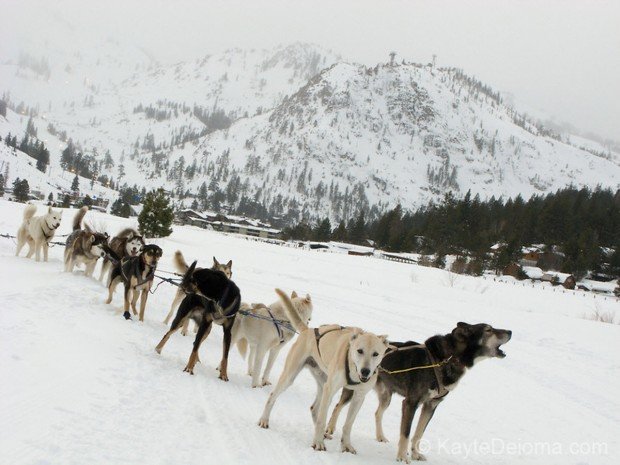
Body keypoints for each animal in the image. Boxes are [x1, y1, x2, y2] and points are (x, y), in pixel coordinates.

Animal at [258, 286, 388, 454]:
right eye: (359, 351)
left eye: (376, 354)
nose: (366, 371)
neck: (352, 368)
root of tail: (307, 330)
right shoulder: (331, 389)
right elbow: (322, 419)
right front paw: (318, 443)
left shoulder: (359, 397)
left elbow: (348, 425)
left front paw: (346, 445)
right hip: (293, 378)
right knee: (274, 397)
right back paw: (264, 420)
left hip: (324, 385)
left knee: (314, 408)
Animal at [326, 320, 512, 462]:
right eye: (488, 329)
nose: (510, 331)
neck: (443, 360)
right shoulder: (410, 403)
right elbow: (406, 433)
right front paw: (402, 457)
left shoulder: (431, 405)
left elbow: (418, 434)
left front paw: (415, 454)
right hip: (353, 391)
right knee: (337, 406)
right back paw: (329, 430)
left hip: (386, 397)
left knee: (378, 413)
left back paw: (380, 436)